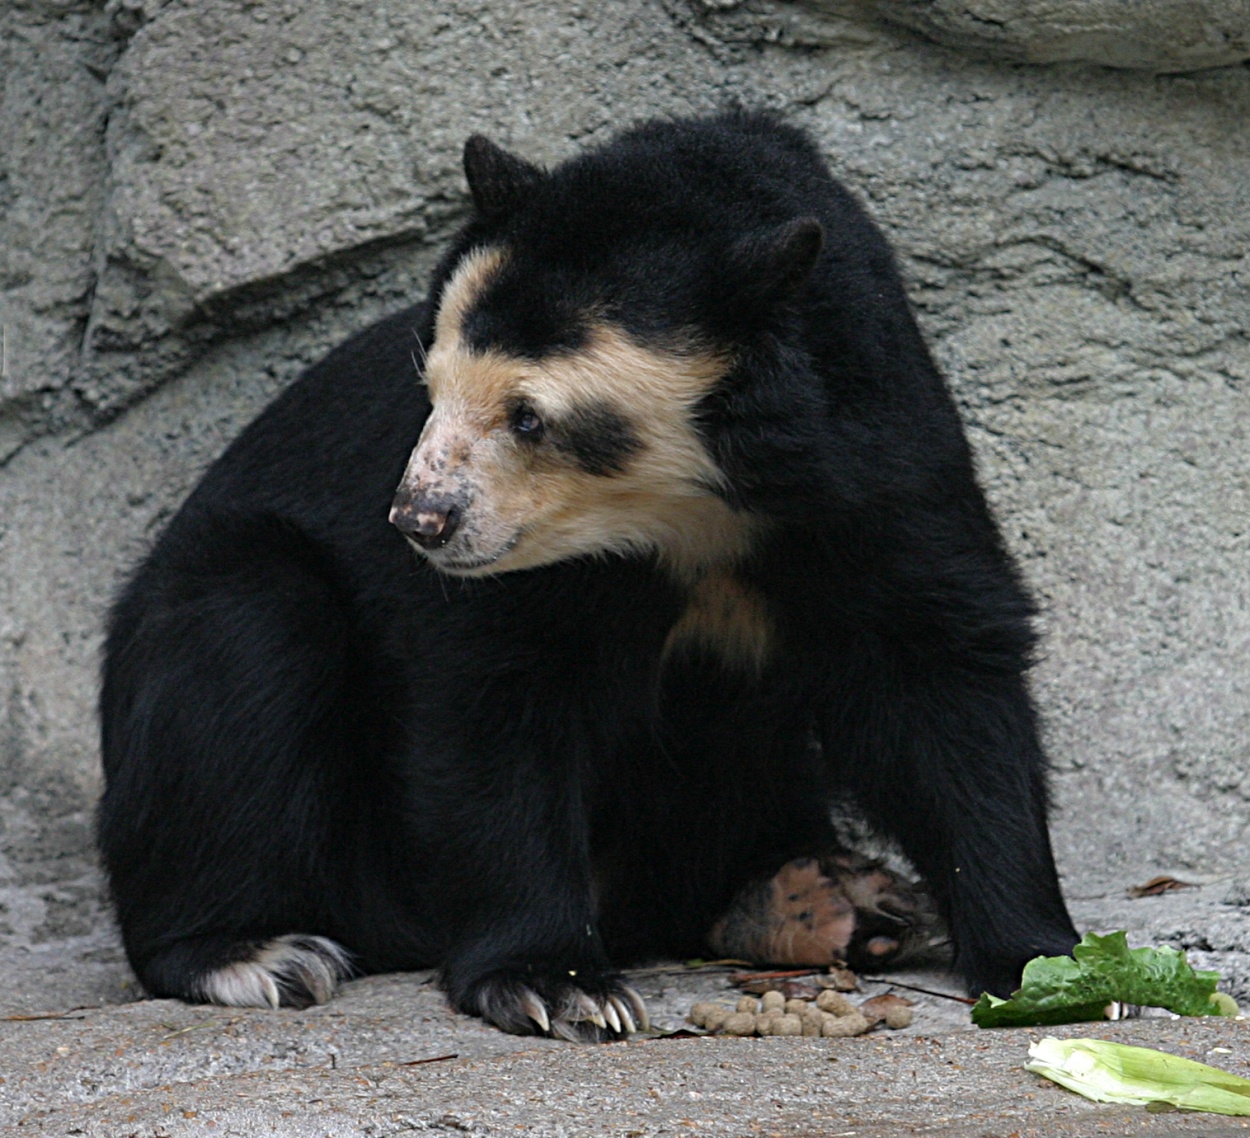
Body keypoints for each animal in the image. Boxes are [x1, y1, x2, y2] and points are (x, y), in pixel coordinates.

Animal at [98, 110, 1079, 1041]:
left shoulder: (874, 463)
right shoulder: (523, 568)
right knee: (246, 638)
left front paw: (1045, 966)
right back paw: (251, 950)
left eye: (530, 417)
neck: (687, 507)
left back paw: (831, 901)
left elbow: (939, 671)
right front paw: (555, 983)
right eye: (432, 387)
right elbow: (494, 703)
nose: (420, 520)